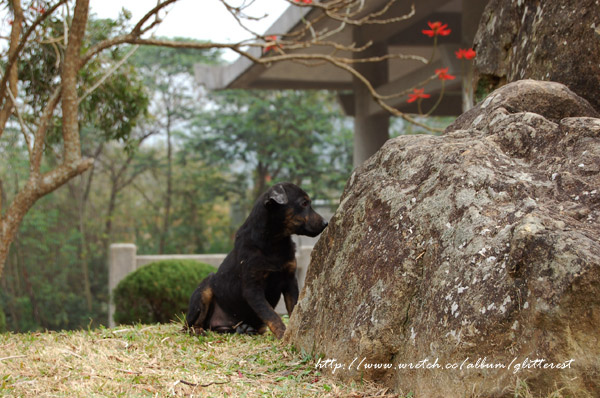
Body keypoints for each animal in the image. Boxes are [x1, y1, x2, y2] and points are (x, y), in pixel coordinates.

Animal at [185, 182, 328, 338]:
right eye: (304, 203)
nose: (326, 223)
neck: (274, 242)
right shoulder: (253, 288)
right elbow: (271, 314)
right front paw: (282, 333)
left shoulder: (290, 280)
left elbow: (293, 306)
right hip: (205, 289)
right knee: (190, 324)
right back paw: (199, 330)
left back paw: (244, 328)